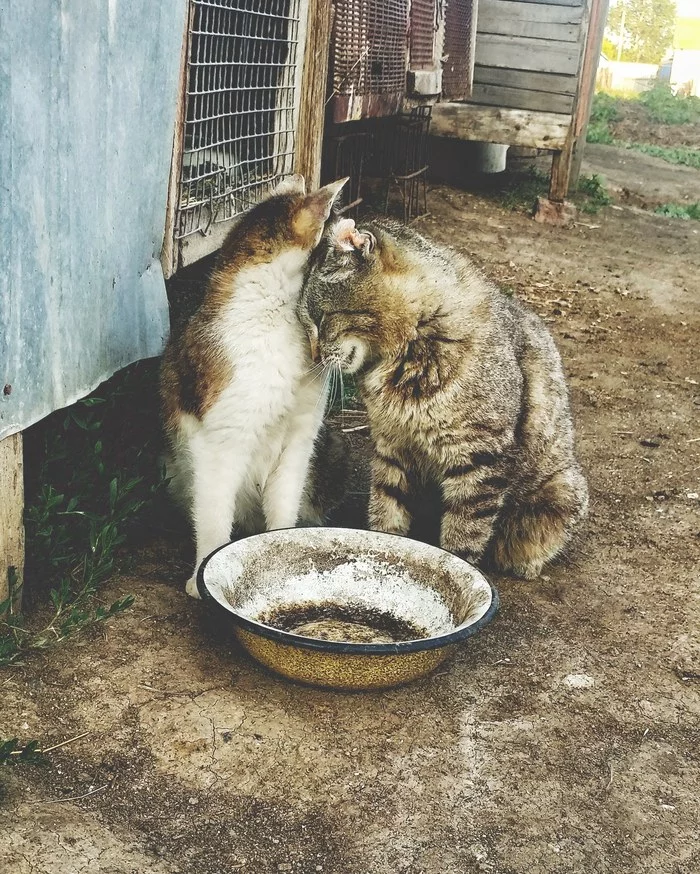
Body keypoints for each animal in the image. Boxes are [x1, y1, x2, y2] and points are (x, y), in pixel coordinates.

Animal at [298, 215, 588, 576]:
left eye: (322, 319)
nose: (314, 356)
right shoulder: (393, 447)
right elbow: (387, 509)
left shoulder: (478, 458)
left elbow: (463, 534)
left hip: (562, 490)